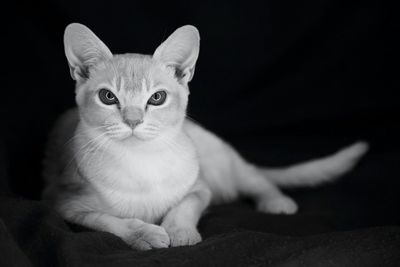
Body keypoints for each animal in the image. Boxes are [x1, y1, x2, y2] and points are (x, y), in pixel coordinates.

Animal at [41, 23, 368, 251]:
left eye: (157, 98)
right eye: (108, 97)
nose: (133, 120)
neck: (142, 164)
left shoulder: (200, 187)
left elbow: (185, 206)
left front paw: (179, 231)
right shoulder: (65, 203)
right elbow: (108, 220)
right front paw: (144, 232)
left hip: (222, 162)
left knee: (255, 178)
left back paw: (276, 202)